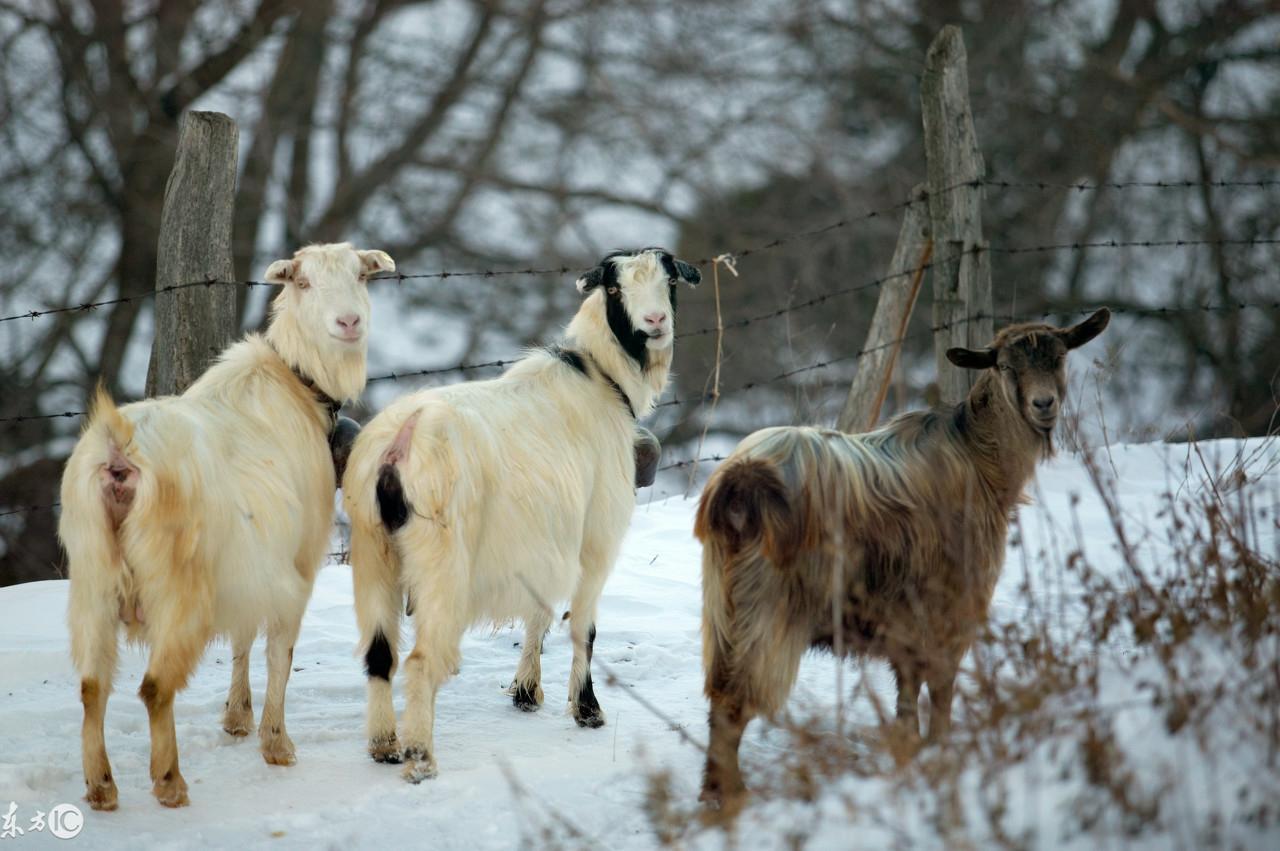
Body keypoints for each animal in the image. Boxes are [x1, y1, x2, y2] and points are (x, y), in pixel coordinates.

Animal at [56, 240, 394, 808]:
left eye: (362, 277)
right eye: (303, 282)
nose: (348, 322)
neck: (296, 384)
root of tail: (120, 451)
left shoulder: (251, 566)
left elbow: (242, 638)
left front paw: (237, 718)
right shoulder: (296, 567)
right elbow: (279, 651)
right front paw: (276, 744)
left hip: (92, 581)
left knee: (91, 686)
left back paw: (101, 787)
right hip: (177, 591)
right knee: (154, 688)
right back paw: (169, 782)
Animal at [343, 244, 701, 778]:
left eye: (670, 281)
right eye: (615, 288)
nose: (655, 321)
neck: (600, 379)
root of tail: (399, 447)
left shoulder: (543, 540)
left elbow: (539, 612)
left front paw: (527, 693)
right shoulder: (596, 538)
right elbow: (583, 626)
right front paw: (588, 709)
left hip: (374, 556)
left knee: (379, 653)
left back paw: (384, 745)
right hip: (441, 564)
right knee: (421, 660)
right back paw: (421, 759)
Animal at [696, 308, 1105, 808]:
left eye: (1060, 357)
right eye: (1006, 366)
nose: (1043, 405)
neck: (978, 457)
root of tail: (740, 480)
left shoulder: (906, 622)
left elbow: (908, 693)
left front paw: (912, 748)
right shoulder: (952, 606)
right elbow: (941, 688)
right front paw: (941, 748)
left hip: (724, 606)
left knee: (719, 694)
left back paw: (714, 789)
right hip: (767, 609)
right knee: (735, 700)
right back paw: (733, 794)